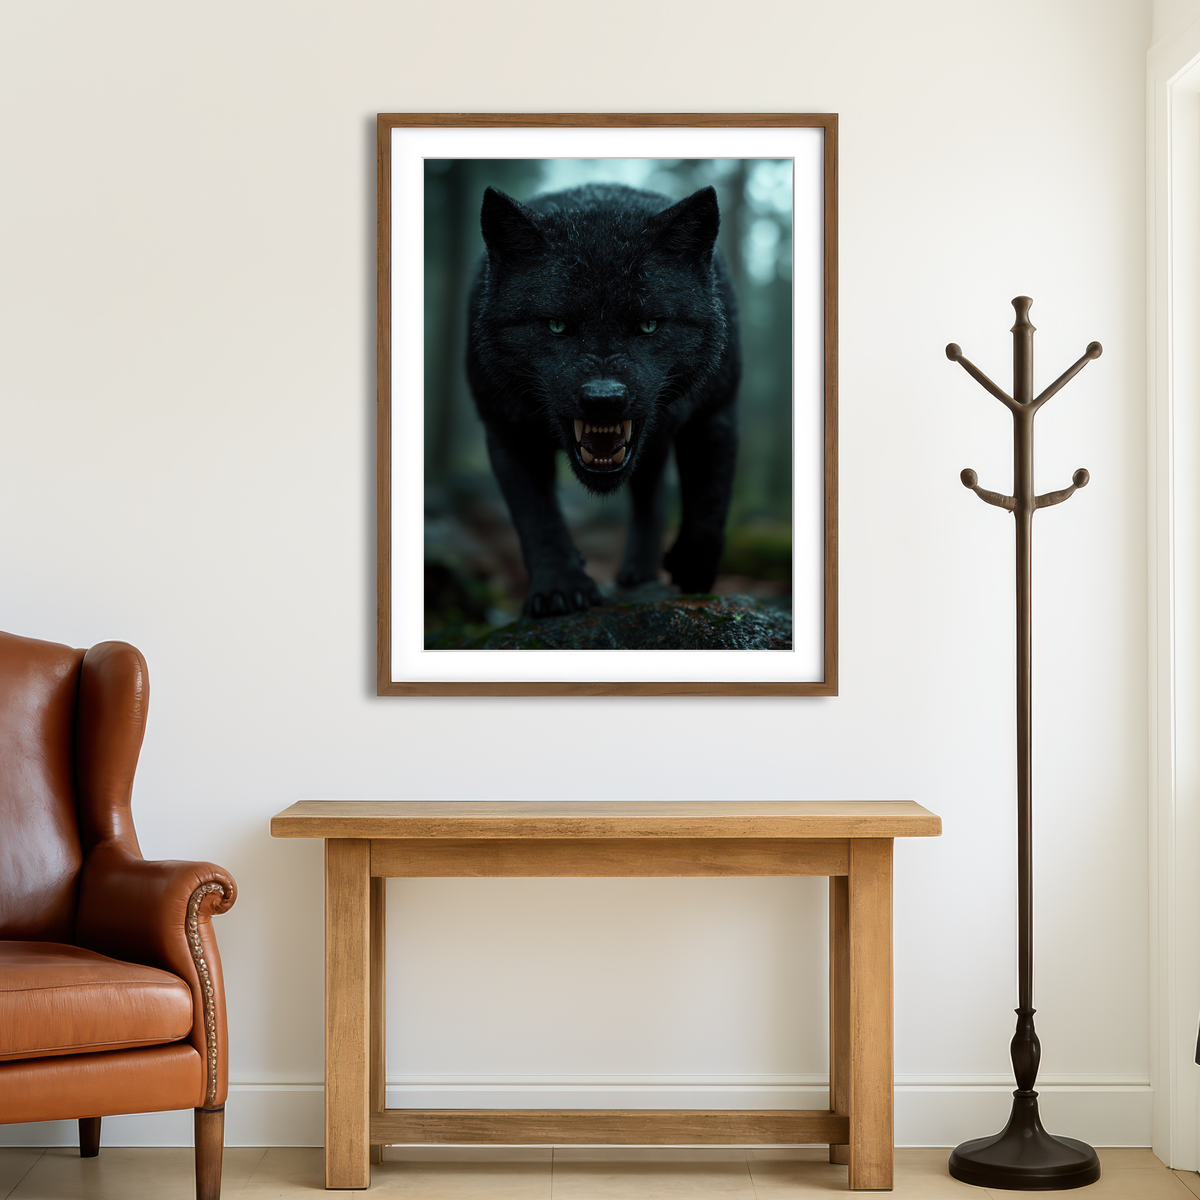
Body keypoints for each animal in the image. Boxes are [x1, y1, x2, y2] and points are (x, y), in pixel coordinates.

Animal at [466, 182, 741, 618]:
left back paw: (640, 575)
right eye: (556, 325)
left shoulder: (716, 411)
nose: (603, 398)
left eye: (648, 325)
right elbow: (535, 514)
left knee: (651, 498)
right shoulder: (506, 429)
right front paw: (561, 589)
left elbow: (711, 499)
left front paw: (693, 571)